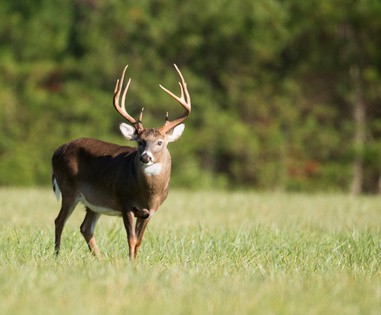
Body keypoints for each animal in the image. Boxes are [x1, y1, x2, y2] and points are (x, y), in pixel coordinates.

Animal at [51, 65, 190, 262]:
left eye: (160, 142)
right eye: (140, 141)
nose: (145, 157)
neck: (148, 194)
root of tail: (57, 151)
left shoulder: (149, 211)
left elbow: (139, 240)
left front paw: (136, 262)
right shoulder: (125, 203)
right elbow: (131, 238)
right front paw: (130, 263)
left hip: (94, 201)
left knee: (85, 227)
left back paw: (100, 259)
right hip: (68, 190)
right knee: (59, 221)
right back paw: (56, 255)